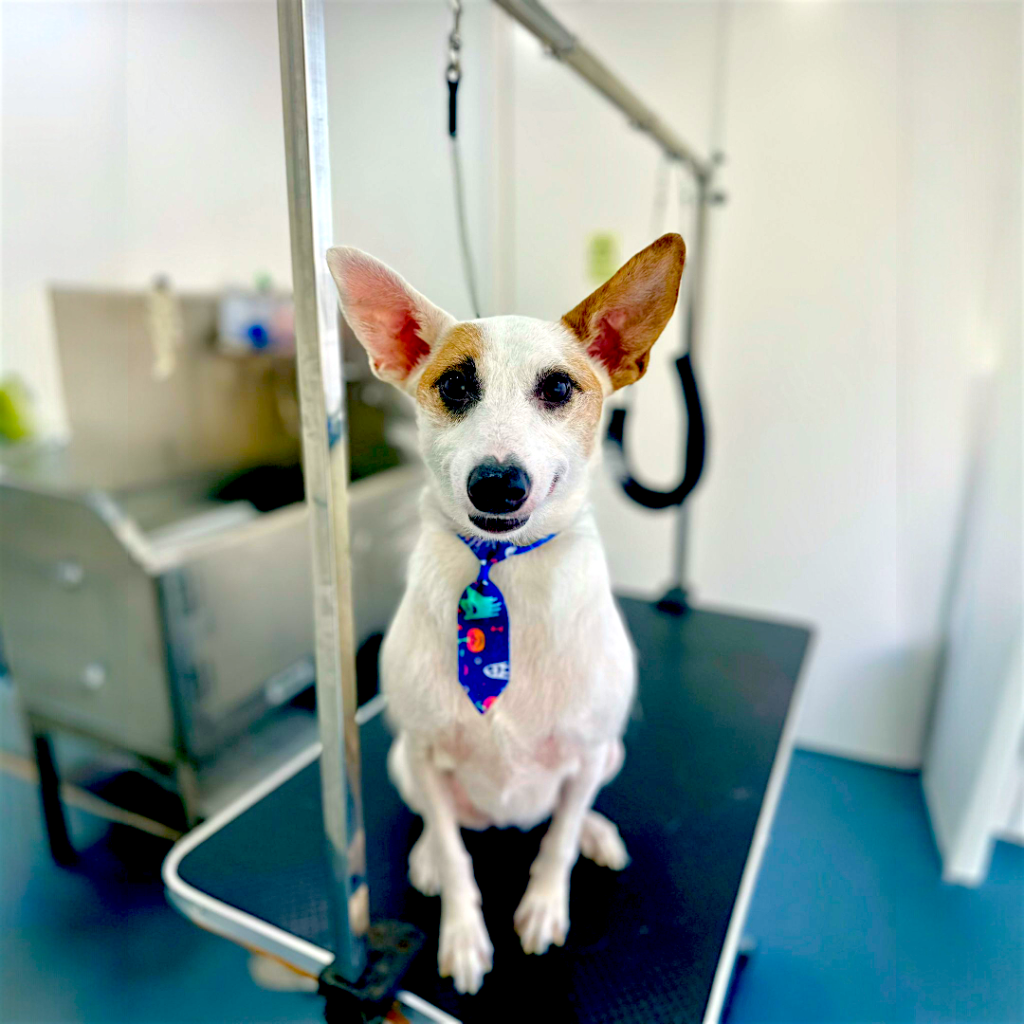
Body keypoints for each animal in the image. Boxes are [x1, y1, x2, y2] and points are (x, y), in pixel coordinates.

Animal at [326, 234, 685, 994]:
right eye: (455, 386)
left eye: (559, 389)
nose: (496, 483)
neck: (504, 571)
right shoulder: (424, 751)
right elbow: (456, 856)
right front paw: (463, 933)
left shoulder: (588, 749)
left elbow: (556, 844)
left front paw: (545, 904)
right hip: (402, 760)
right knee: (442, 827)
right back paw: (430, 856)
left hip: (611, 751)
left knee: (568, 814)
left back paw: (595, 833)